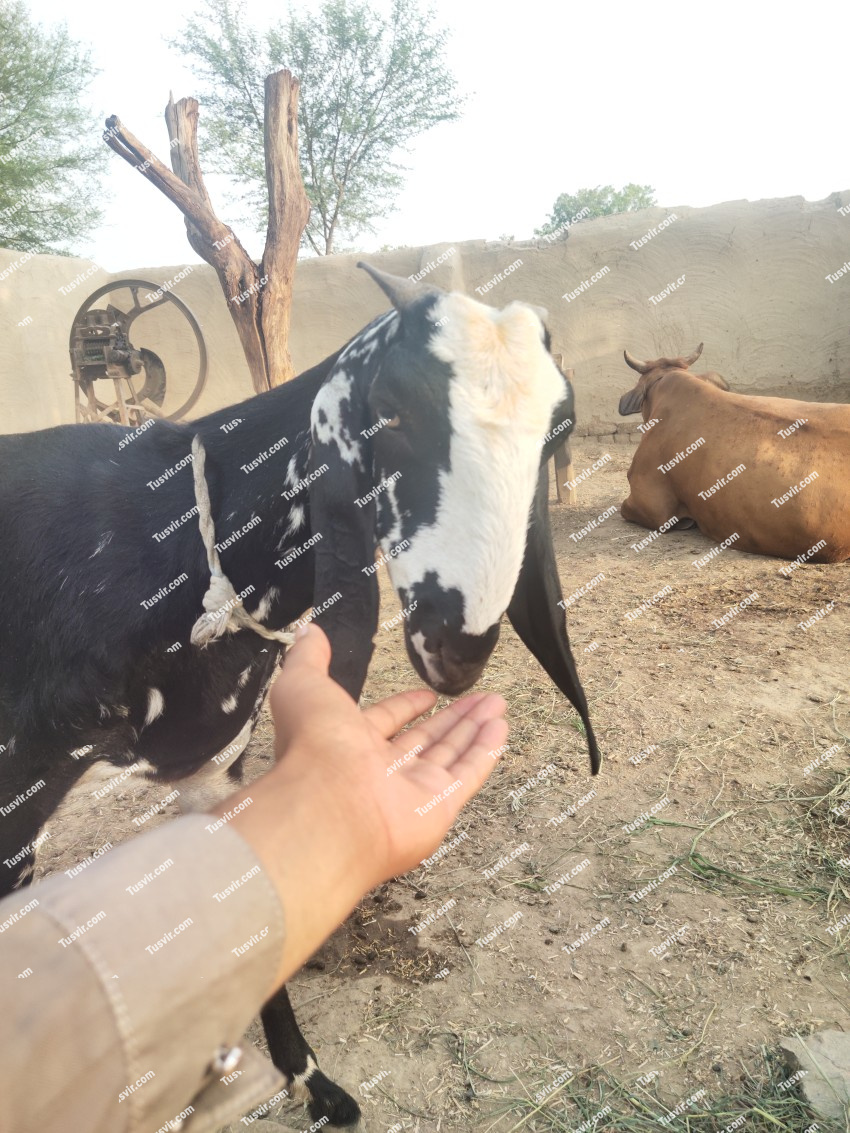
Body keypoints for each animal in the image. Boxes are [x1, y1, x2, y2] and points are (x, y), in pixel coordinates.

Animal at [0, 263, 600, 1128]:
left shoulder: (214, 768)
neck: (169, 540)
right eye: (391, 408)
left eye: (561, 427)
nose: (458, 645)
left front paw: (306, 1076)